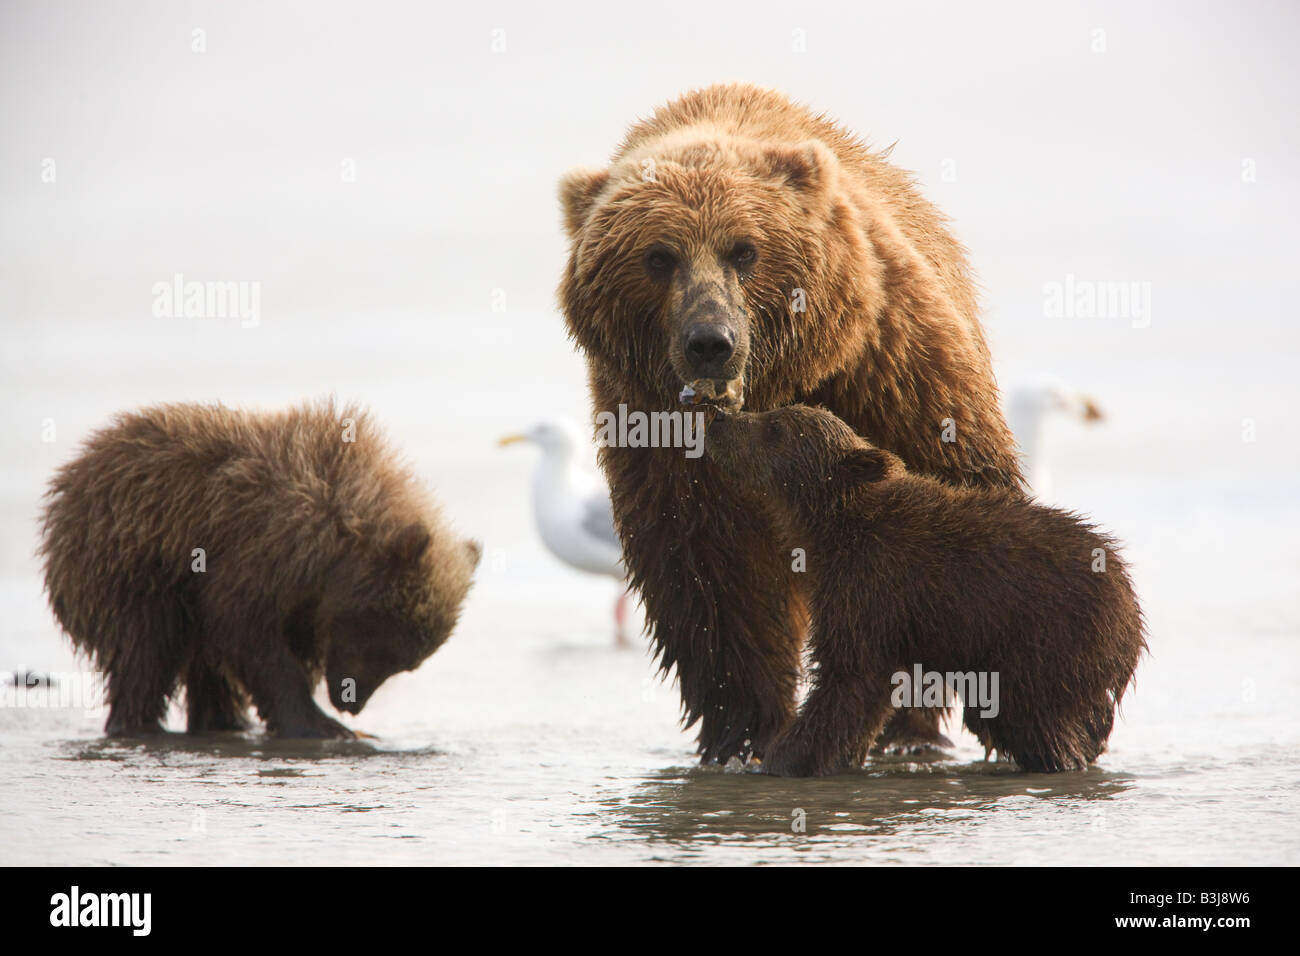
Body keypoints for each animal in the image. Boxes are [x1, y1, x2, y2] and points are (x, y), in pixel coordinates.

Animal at [553, 82, 1019, 764]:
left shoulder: (885, 368)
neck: (771, 388)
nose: (710, 342)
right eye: (659, 257)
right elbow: (713, 576)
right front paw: (744, 730)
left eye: (744, 249)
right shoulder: (660, 438)